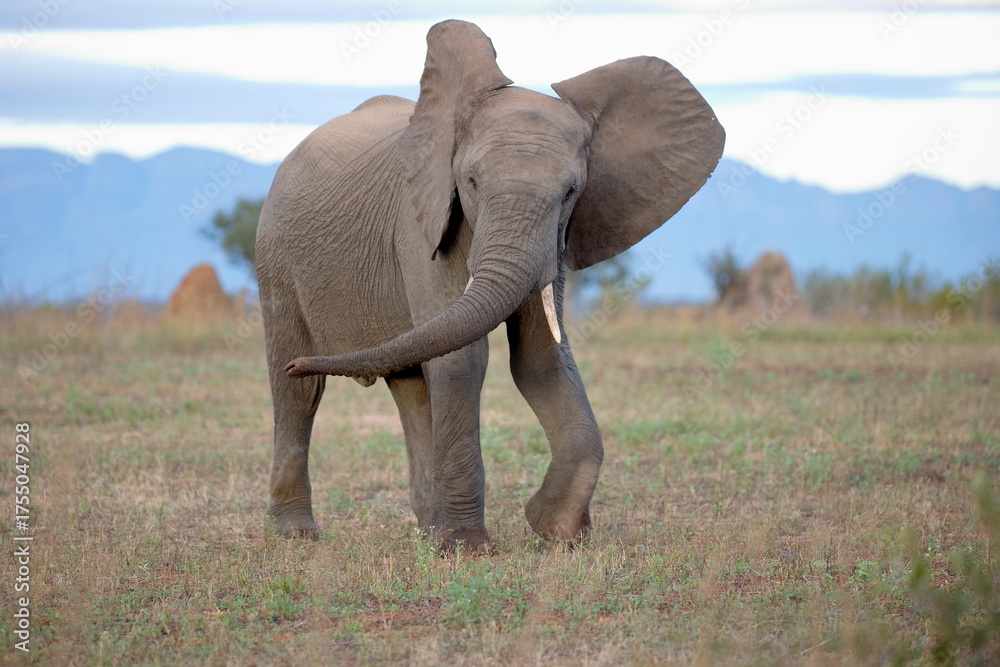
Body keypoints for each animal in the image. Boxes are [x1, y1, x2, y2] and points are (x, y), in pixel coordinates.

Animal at [256, 19, 724, 552]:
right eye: (473, 182)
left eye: (571, 192)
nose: (302, 360)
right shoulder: (420, 224)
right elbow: (463, 360)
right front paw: (469, 550)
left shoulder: (555, 241)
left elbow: (541, 359)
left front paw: (555, 530)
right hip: (275, 252)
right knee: (299, 394)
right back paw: (298, 534)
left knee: (411, 384)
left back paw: (427, 530)